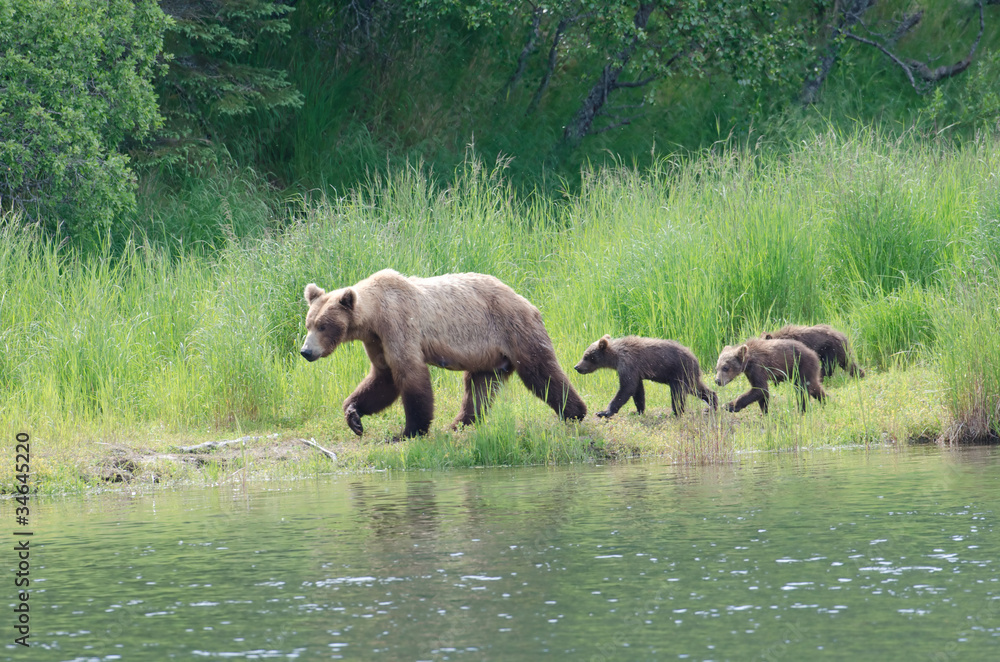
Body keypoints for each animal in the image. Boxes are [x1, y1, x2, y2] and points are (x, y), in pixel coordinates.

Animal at [299, 269, 586, 439]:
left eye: (323, 325)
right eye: (309, 323)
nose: (306, 351)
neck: (373, 316)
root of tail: (528, 301)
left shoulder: (398, 324)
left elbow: (409, 374)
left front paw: (408, 431)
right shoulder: (376, 340)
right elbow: (383, 378)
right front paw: (354, 416)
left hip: (511, 330)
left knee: (540, 372)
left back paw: (574, 411)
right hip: (487, 355)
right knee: (479, 387)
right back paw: (461, 423)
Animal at [573, 335, 718, 418]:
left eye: (586, 356)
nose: (577, 367)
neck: (615, 357)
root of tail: (695, 358)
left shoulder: (628, 364)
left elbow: (626, 388)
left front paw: (604, 412)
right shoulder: (635, 371)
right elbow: (638, 390)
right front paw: (638, 410)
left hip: (679, 372)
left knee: (678, 394)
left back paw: (676, 412)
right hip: (688, 375)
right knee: (697, 388)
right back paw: (712, 404)